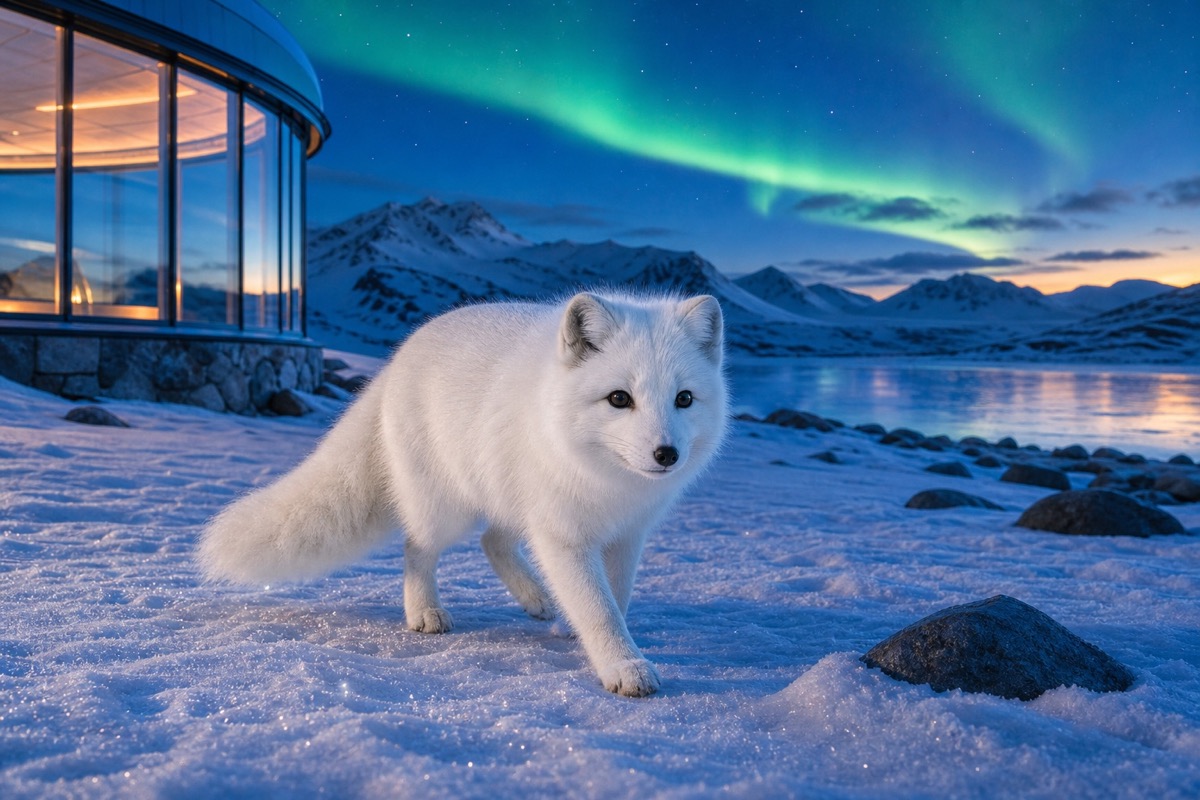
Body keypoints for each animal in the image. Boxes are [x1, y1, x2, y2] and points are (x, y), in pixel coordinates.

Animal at [198, 290, 727, 697]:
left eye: (684, 399)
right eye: (619, 398)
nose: (667, 454)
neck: (608, 482)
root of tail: (399, 356)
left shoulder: (626, 535)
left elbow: (615, 598)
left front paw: (579, 631)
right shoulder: (563, 536)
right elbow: (600, 610)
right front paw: (623, 667)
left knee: (492, 541)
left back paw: (540, 602)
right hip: (446, 509)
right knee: (417, 546)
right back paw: (424, 611)